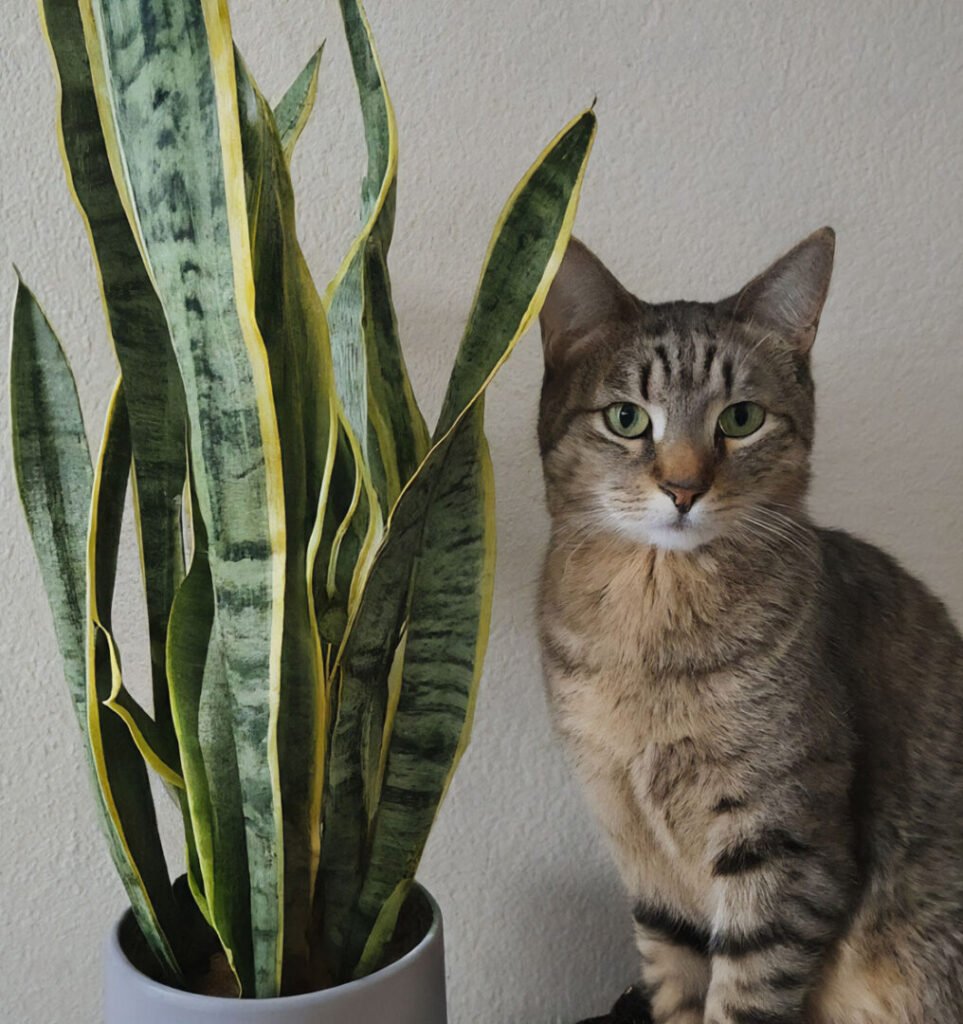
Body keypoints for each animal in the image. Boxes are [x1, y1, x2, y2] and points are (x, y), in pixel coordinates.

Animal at [536, 232, 958, 1024]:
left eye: (739, 419)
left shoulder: (785, 849)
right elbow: (676, 988)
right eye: (626, 418)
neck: (651, 631)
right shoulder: (642, 860)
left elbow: (743, 999)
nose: (682, 487)